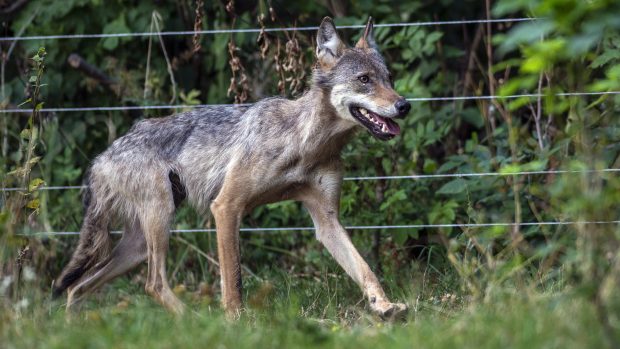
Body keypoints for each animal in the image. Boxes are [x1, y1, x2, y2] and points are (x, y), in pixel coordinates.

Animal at [54, 17, 412, 320]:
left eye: (389, 79)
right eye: (364, 80)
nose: (404, 105)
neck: (307, 142)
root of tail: (102, 157)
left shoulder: (326, 221)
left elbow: (365, 269)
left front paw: (384, 306)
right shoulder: (226, 207)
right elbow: (234, 280)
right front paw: (237, 323)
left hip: (139, 245)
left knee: (78, 287)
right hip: (159, 223)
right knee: (151, 284)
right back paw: (193, 321)